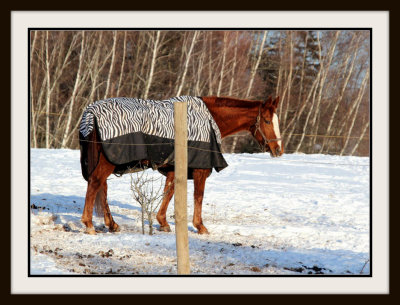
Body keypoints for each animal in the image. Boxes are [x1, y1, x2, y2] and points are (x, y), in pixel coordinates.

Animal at [79, 95, 282, 235]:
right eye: (267, 121)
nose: (278, 149)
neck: (209, 118)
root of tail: (91, 114)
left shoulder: (174, 169)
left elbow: (169, 193)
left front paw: (163, 222)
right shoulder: (200, 169)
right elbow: (198, 196)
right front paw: (200, 226)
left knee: (101, 188)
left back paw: (111, 224)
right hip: (107, 163)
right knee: (95, 184)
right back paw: (89, 224)